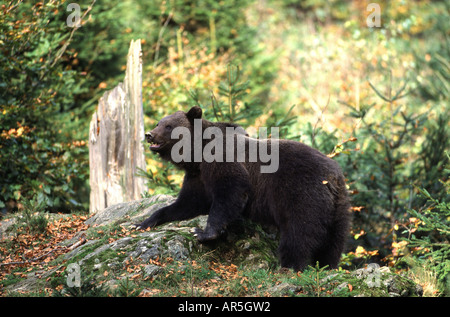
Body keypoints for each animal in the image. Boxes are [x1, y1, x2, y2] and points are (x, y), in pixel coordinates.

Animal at [136, 106, 352, 270]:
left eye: (168, 125)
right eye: (159, 122)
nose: (149, 135)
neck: (196, 155)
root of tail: (333, 176)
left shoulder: (220, 160)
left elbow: (231, 190)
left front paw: (203, 233)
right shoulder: (198, 177)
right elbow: (188, 203)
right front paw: (145, 221)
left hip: (301, 193)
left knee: (298, 233)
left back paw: (289, 266)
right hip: (339, 208)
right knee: (334, 242)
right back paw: (326, 265)